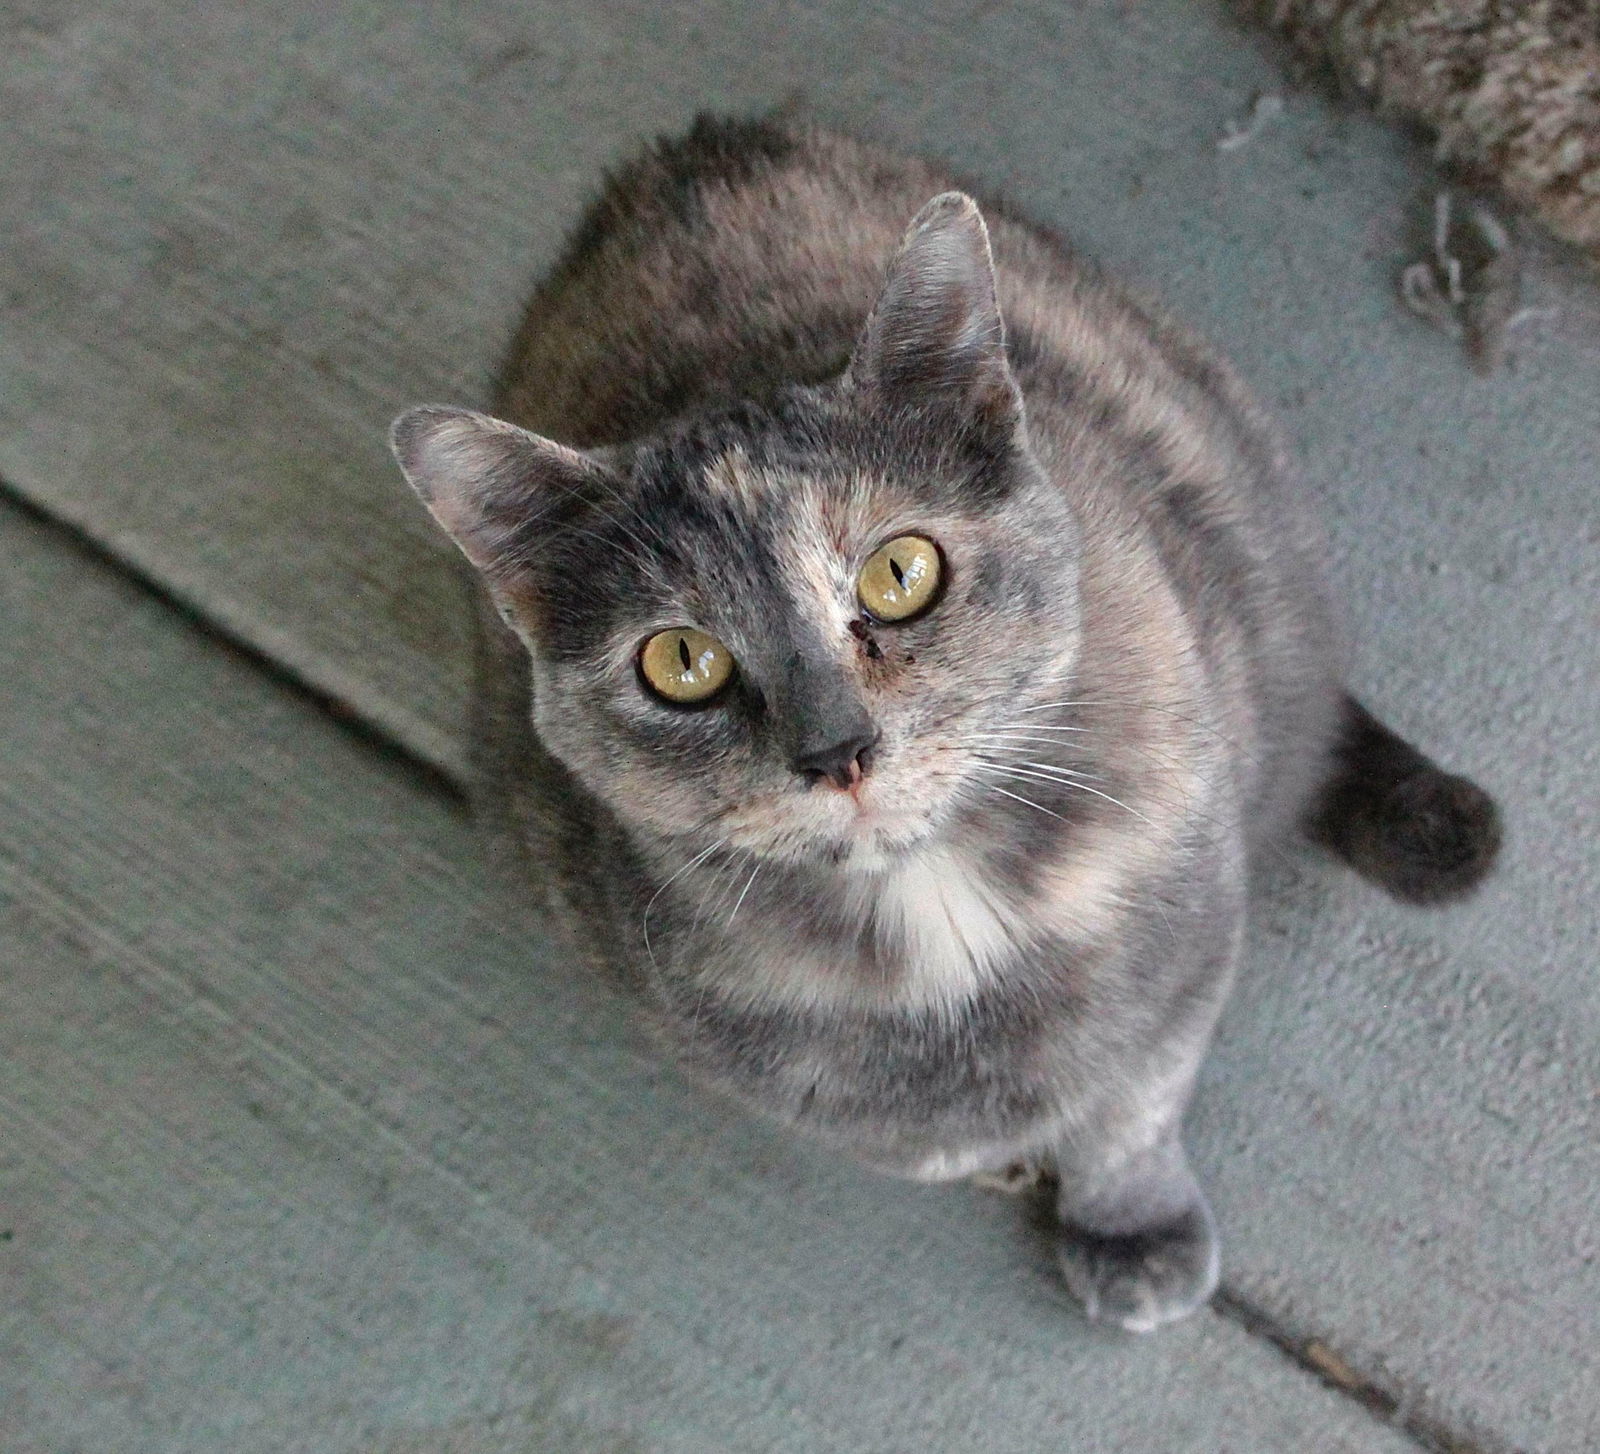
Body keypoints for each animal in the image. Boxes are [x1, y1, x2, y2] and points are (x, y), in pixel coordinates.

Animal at [387, 110, 1497, 1324]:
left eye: (900, 572)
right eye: (681, 660)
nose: (837, 749)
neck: (937, 901)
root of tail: (694, 152)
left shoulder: (1190, 919)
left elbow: (1136, 1096)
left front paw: (1131, 1222)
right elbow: (918, 1129)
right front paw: (991, 1146)